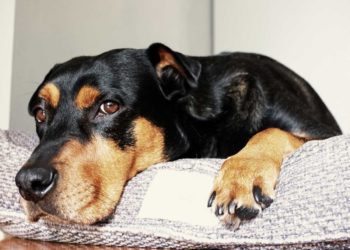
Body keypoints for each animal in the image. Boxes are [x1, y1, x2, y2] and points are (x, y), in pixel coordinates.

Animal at [15, 43, 340, 227]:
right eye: (40, 114)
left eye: (109, 106)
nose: (29, 183)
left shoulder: (325, 134)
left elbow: (271, 131)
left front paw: (241, 177)